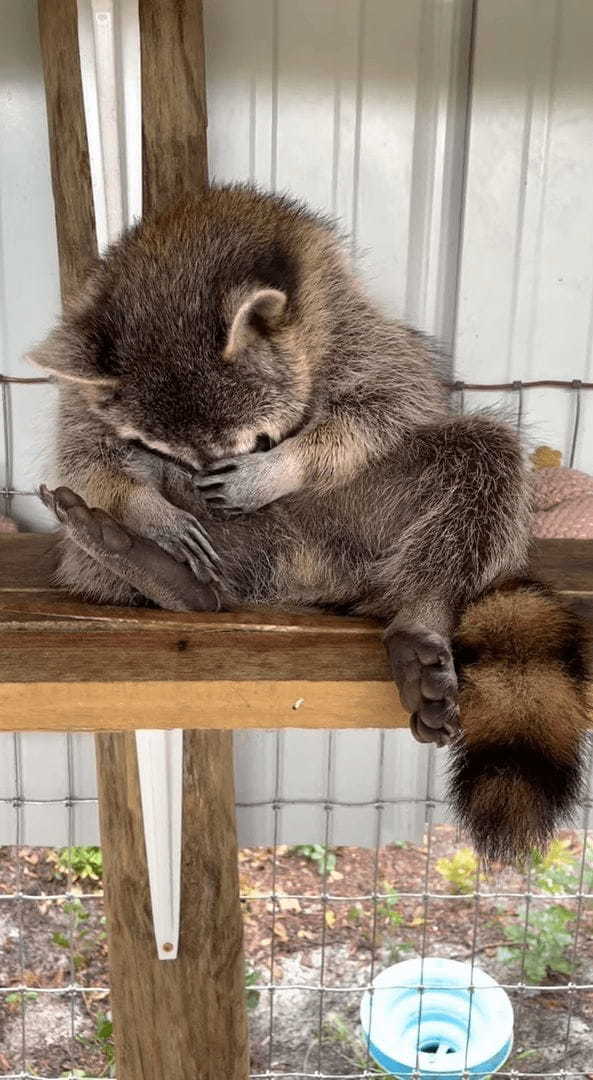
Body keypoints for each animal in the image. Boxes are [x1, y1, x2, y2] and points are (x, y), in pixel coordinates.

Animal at [30, 185, 587, 859]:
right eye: (168, 450)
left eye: (255, 442)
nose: (199, 492)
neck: (178, 259)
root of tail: (308, 574)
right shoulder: (90, 381)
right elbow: (84, 451)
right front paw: (149, 508)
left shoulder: (340, 317)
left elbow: (391, 400)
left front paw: (281, 466)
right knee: (93, 542)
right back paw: (160, 571)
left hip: (372, 516)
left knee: (485, 454)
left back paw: (422, 608)